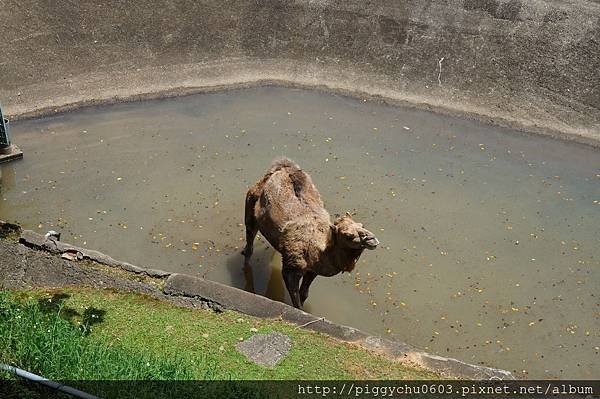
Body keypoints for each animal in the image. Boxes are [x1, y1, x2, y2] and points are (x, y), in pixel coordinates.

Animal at [241, 159, 378, 310]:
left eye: (362, 225)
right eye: (348, 235)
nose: (372, 240)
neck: (318, 250)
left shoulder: (314, 270)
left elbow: (304, 293)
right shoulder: (292, 268)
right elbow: (295, 298)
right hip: (251, 202)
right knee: (250, 239)